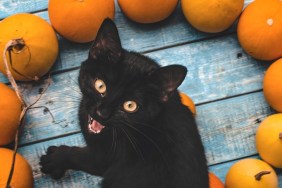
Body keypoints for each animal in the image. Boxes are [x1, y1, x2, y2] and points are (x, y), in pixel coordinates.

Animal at [39, 18, 208, 188]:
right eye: (100, 85)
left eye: (130, 105)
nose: (102, 113)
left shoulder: (103, 158)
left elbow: (79, 156)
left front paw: (56, 158)